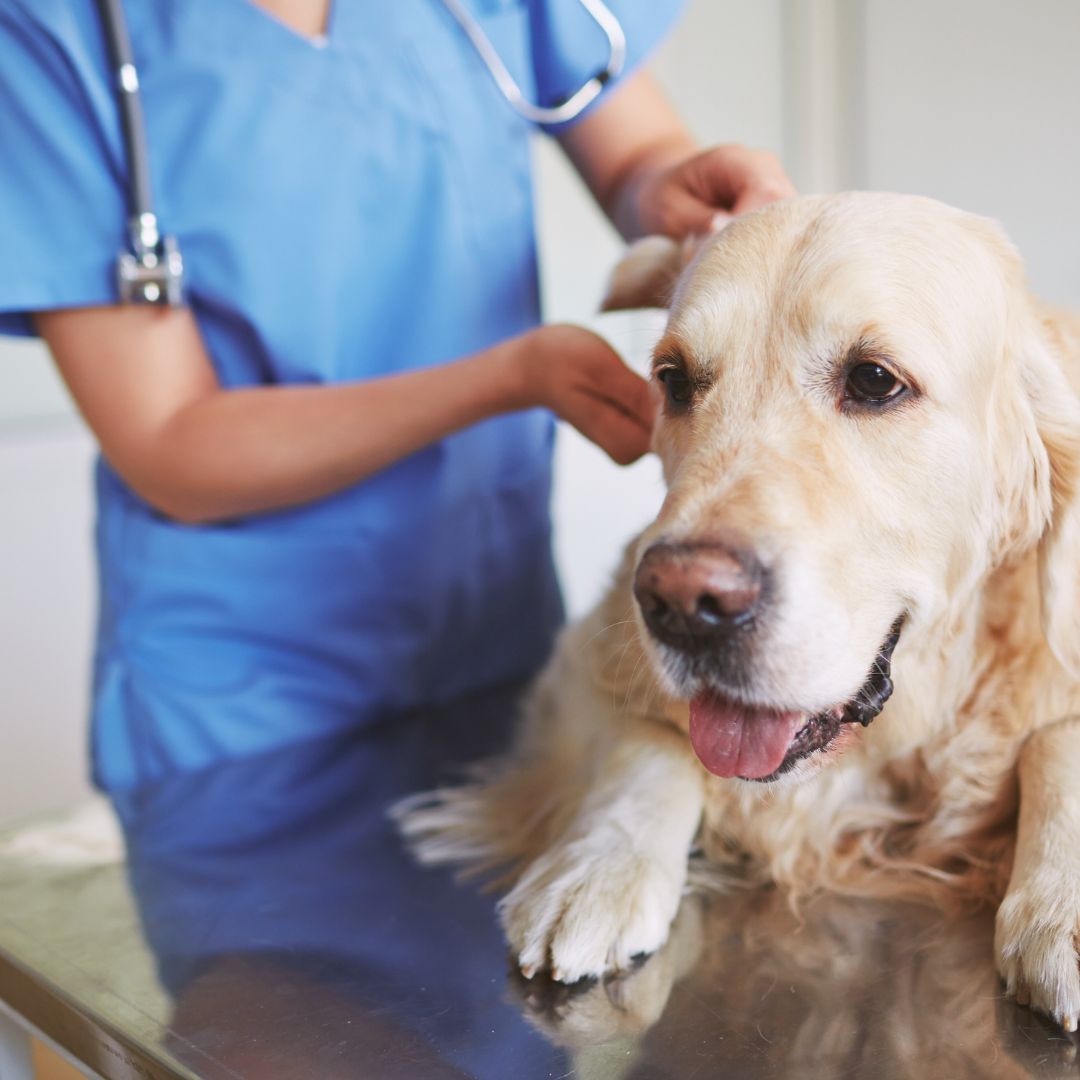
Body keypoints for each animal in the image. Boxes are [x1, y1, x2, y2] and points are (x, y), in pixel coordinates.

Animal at [397, 192, 1080, 1028]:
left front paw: (1061, 909)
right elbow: (648, 746)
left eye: (875, 380)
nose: (683, 603)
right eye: (674, 380)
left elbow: (1056, 746)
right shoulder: (582, 660)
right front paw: (597, 869)